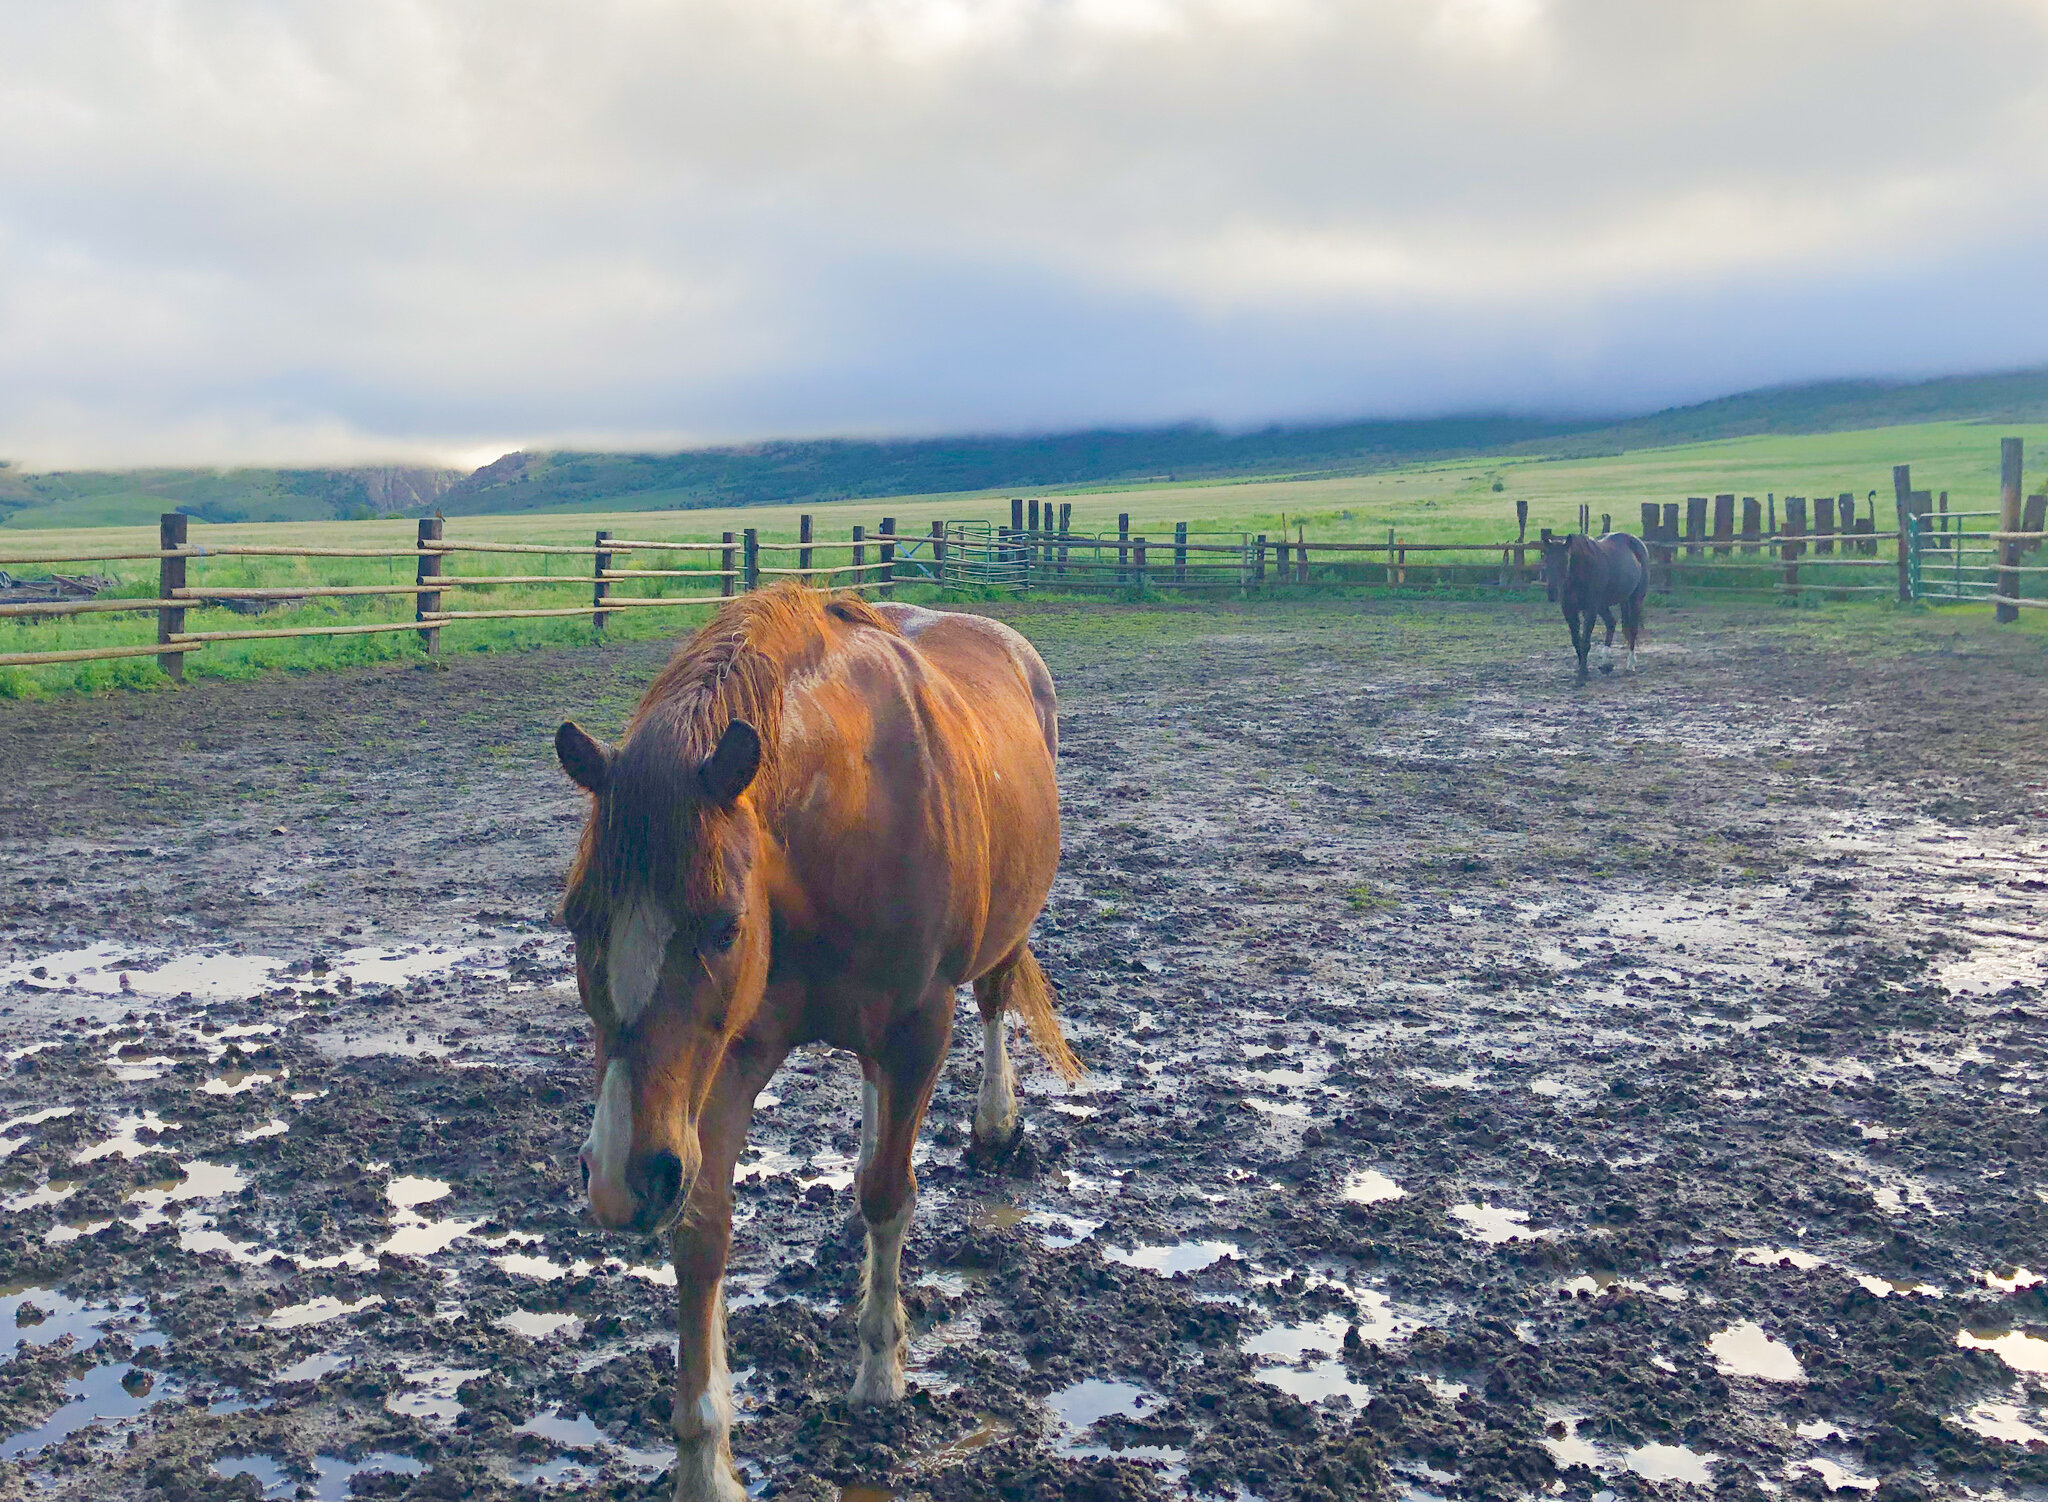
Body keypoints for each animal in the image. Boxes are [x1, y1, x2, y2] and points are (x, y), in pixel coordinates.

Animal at [552, 581, 1081, 1491]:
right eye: (577, 920)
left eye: (724, 927)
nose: (621, 1178)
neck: (847, 813)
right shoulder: (726, 1061)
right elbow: (703, 1232)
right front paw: (705, 1463)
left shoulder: (917, 1028)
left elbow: (887, 1194)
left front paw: (879, 1371)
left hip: (1002, 937)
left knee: (993, 1004)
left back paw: (995, 1125)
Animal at [1540, 528, 1646, 684]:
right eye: (1546, 561)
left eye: (1565, 560)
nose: (1552, 593)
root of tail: (1636, 542)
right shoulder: (1569, 610)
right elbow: (1576, 641)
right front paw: (1583, 669)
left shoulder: (1590, 610)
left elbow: (1585, 642)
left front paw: (1583, 674)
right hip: (1603, 605)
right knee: (1611, 623)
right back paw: (1605, 664)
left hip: (1634, 599)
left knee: (1632, 629)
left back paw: (1630, 665)